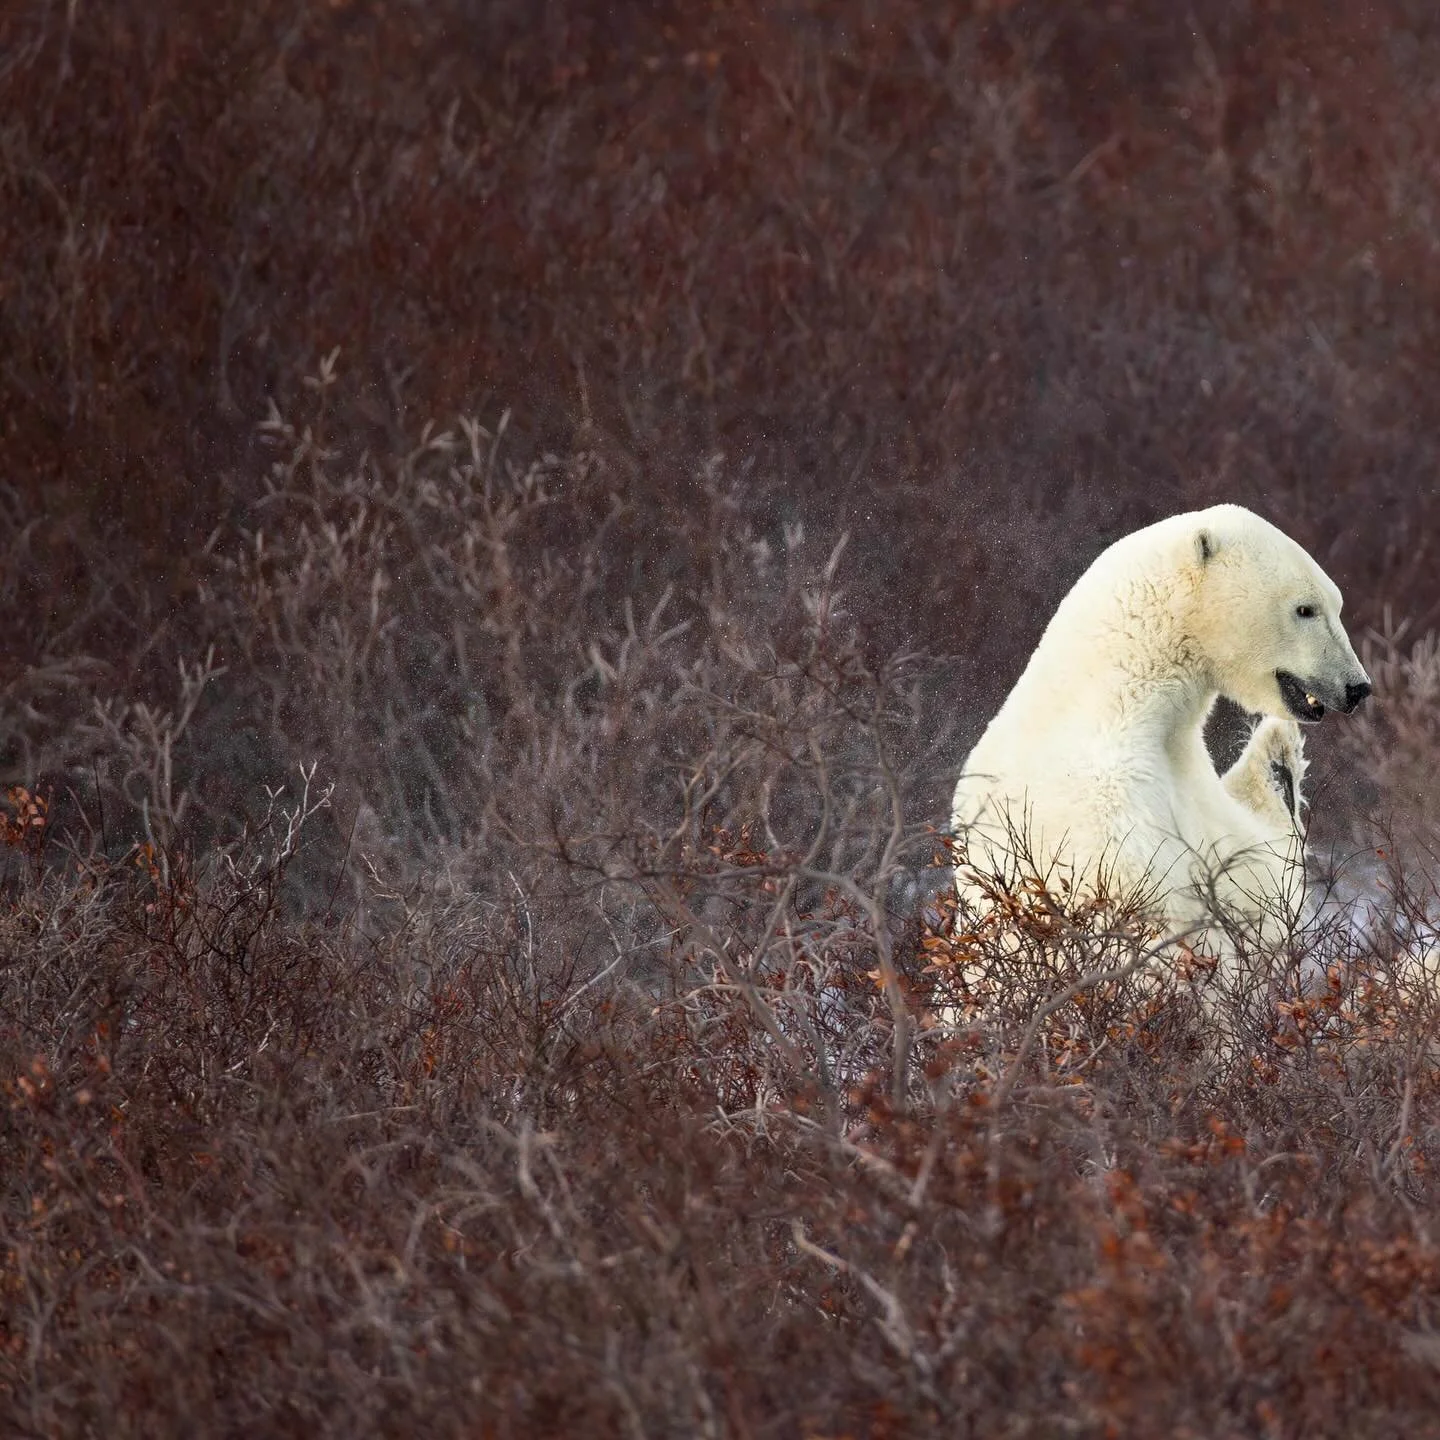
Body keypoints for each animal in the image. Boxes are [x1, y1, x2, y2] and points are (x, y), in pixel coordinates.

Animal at [950, 504, 1371, 957]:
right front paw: (1276, 763)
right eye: (1305, 609)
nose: (1357, 687)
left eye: (1336, 603)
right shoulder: (1118, 816)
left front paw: (1276, 752)